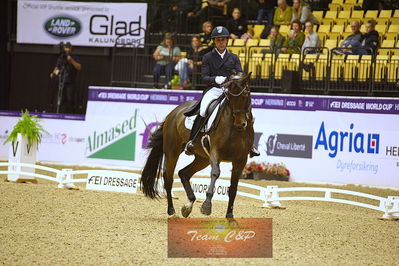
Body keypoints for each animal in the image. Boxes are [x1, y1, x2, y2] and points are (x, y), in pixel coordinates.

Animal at [141, 71, 253, 218]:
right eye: (229, 98)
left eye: (246, 95)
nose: (241, 124)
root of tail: (173, 112)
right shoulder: (215, 152)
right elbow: (215, 173)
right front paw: (206, 206)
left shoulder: (241, 160)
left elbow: (233, 187)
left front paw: (229, 215)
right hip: (172, 151)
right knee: (168, 179)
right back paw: (172, 211)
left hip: (202, 159)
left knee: (183, 173)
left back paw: (188, 206)